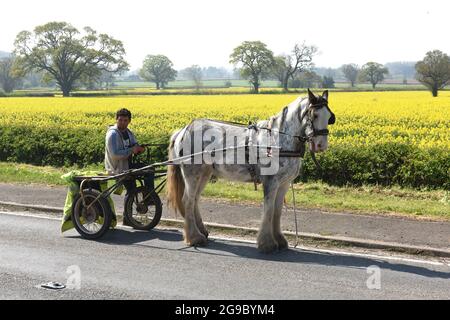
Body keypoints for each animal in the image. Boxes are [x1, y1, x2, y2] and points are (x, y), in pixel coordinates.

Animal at [165, 89, 334, 252]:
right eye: (314, 115)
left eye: (330, 117)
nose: (321, 145)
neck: (277, 141)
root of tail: (183, 131)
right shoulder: (271, 182)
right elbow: (269, 210)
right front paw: (267, 243)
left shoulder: (284, 183)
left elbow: (277, 211)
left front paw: (280, 240)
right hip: (192, 173)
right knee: (187, 200)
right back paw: (194, 237)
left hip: (204, 174)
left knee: (195, 199)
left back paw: (201, 231)